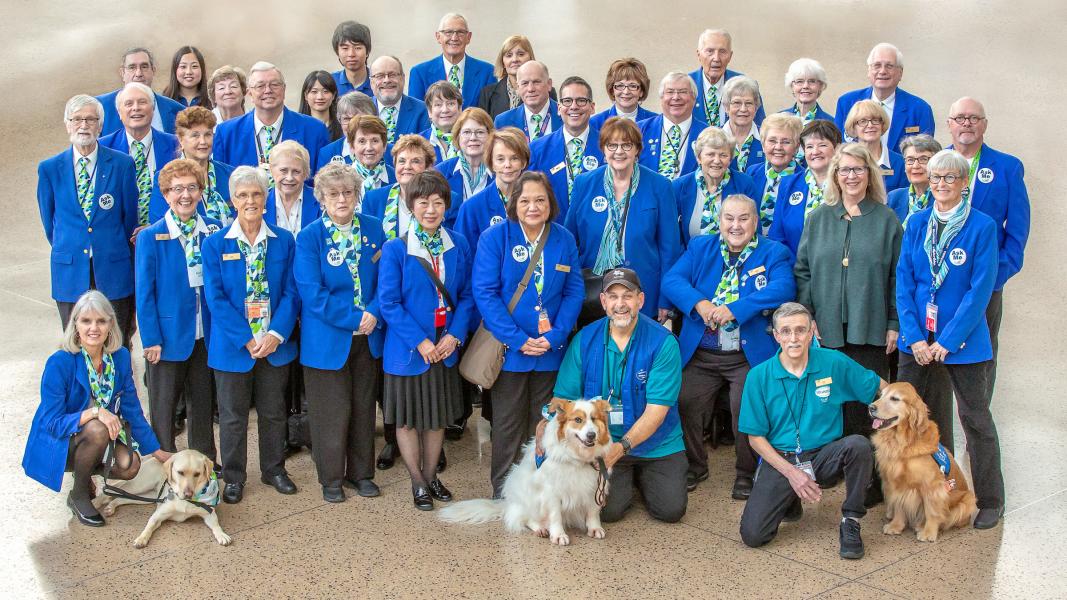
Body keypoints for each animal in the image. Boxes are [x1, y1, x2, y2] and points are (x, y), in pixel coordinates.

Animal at [94, 448, 231, 546]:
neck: (186, 501)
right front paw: (142, 538)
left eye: (197, 474)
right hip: (139, 485)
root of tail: (151, 458)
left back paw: (110, 507)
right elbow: (149, 524)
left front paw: (222, 535)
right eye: (180, 472)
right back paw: (97, 501)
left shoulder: (209, 514)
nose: (188, 494)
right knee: (112, 490)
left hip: (148, 496)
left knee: (121, 498)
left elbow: (216, 525)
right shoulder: (158, 515)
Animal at [439, 397, 610, 542]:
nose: (591, 435)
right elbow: (555, 515)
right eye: (578, 420)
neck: (577, 459)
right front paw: (558, 535)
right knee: (524, 518)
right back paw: (540, 528)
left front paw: (594, 528)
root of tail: (508, 503)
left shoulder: (595, 486)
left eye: (594, 419)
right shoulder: (552, 492)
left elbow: (593, 511)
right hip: (526, 494)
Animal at [866, 382, 977, 542]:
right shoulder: (895, 482)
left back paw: (921, 525)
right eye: (881, 395)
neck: (903, 443)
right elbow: (899, 505)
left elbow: (932, 511)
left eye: (894, 398)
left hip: (968, 500)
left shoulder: (932, 486)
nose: (871, 407)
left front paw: (929, 532)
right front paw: (896, 526)